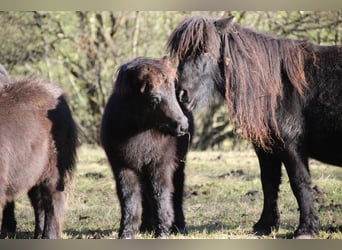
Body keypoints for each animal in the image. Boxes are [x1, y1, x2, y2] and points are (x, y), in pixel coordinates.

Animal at [100, 56, 194, 238]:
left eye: (172, 93)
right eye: (154, 98)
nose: (183, 126)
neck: (138, 131)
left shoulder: (159, 165)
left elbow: (160, 193)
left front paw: (163, 231)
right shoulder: (123, 167)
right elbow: (129, 197)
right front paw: (126, 232)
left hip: (179, 163)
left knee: (177, 189)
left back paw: (179, 226)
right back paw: (146, 226)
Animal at [168, 15, 342, 238]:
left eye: (205, 50)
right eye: (181, 54)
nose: (181, 95)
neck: (275, 86)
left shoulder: (291, 146)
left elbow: (300, 182)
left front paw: (306, 229)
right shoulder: (267, 147)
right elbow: (268, 182)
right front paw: (265, 225)